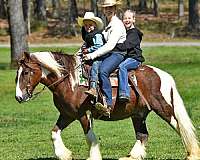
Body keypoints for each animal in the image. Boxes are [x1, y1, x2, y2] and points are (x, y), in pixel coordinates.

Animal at [15, 51, 200, 160]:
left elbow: (90, 137)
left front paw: (94, 156)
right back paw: (131, 156)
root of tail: (163, 75)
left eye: (26, 72)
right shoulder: (67, 114)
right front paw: (64, 154)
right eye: (18, 74)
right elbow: (54, 132)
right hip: (139, 114)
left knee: (180, 127)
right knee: (143, 135)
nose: (18, 97)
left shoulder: (83, 114)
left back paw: (192, 153)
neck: (71, 82)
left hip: (163, 108)